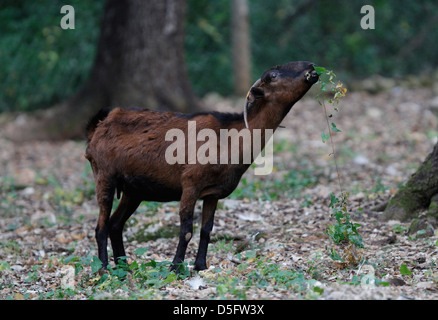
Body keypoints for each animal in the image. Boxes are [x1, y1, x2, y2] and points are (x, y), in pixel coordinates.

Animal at [84, 60, 318, 272]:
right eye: (273, 76)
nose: (311, 67)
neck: (229, 138)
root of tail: (98, 127)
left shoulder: (212, 193)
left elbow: (207, 230)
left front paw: (200, 266)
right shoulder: (190, 184)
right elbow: (187, 229)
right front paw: (176, 268)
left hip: (134, 190)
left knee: (115, 225)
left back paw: (125, 269)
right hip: (104, 175)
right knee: (101, 226)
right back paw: (103, 269)